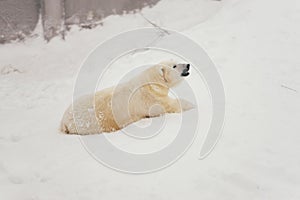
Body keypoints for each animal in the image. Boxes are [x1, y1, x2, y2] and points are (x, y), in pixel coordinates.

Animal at [61, 61, 195, 134]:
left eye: (175, 62)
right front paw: (192, 105)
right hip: (89, 124)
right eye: (174, 66)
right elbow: (169, 106)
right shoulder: (149, 99)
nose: (188, 65)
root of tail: (63, 121)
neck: (150, 83)